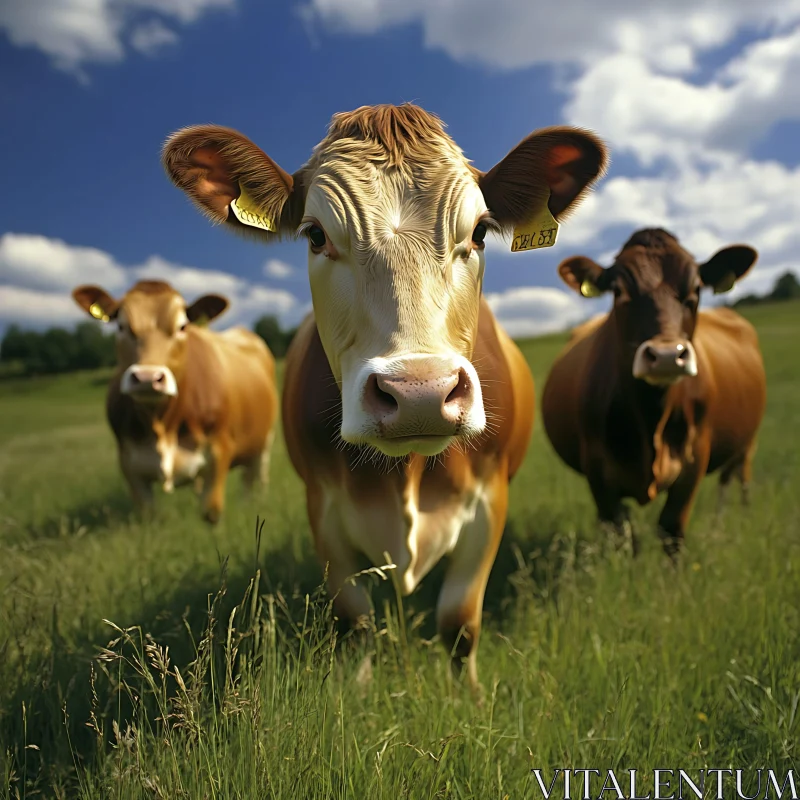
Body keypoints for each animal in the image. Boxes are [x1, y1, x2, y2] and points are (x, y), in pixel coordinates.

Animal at [72, 278, 278, 520]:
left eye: (182, 327)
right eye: (121, 327)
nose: (147, 378)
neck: (162, 424)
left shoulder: (219, 451)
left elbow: (211, 511)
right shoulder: (129, 465)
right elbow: (147, 514)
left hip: (263, 441)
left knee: (255, 477)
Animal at [159, 100, 608, 688]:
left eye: (480, 232)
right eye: (315, 235)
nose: (419, 392)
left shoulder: (490, 501)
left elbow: (459, 621)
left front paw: (469, 694)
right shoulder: (323, 508)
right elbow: (355, 620)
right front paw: (356, 690)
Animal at [540, 228, 764, 560]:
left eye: (696, 289)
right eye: (618, 291)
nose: (667, 355)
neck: (650, 421)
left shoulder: (695, 457)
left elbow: (671, 528)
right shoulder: (596, 469)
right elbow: (622, 534)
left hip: (746, 441)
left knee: (736, 476)